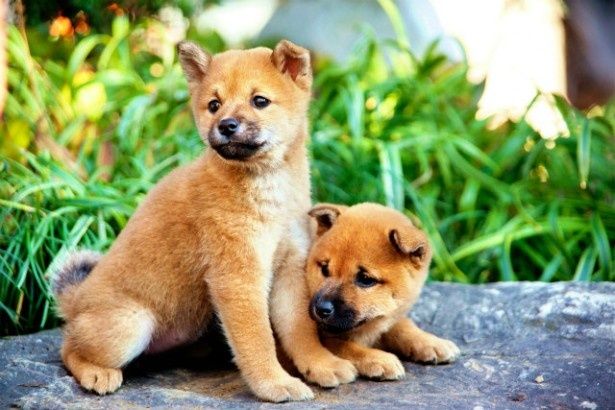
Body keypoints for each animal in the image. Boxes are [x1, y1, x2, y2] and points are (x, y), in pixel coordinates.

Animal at [51, 40, 356, 402]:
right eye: (214, 105)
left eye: (259, 101)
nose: (226, 125)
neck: (269, 188)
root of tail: (77, 300)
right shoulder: (237, 277)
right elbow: (258, 340)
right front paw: (274, 383)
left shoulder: (290, 269)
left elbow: (300, 328)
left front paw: (321, 364)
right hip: (131, 324)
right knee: (68, 346)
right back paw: (97, 373)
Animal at [306, 202, 460, 382]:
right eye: (324, 268)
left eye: (365, 279)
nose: (322, 309)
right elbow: (342, 345)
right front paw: (378, 359)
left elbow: (401, 325)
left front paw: (432, 342)